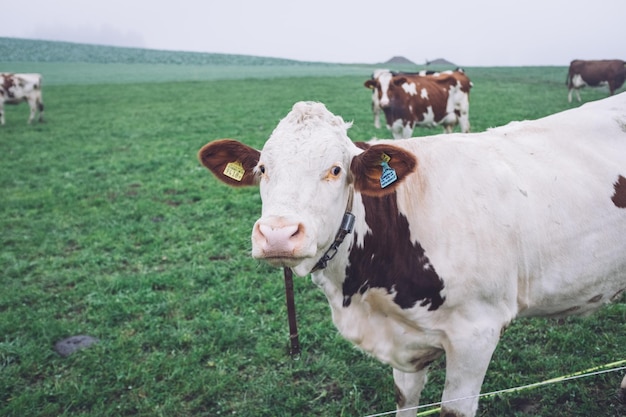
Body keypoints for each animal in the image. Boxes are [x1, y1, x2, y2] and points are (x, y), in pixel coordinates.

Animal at [199, 98, 624, 416]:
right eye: (262, 168)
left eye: (335, 170)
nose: (277, 234)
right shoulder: (404, 339)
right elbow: (405, 399)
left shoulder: (477, 332)